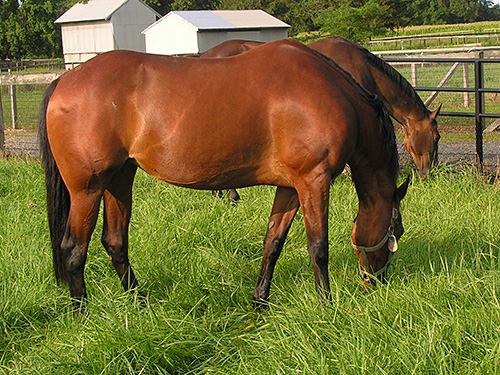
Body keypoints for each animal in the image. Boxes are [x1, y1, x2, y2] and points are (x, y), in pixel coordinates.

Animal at [38, 39, 406, 310]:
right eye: (396, 230)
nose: (379, 281)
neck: (333, 93)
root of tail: (64, 81)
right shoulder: (313, 180)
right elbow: (318, 246)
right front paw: (325, 304)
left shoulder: (290, 186)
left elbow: (273, 242)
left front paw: (260, 301)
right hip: (87, 190)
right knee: (74, 249)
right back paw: (82, 314)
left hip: (119, 180)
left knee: (115, 242)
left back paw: (139, 302)